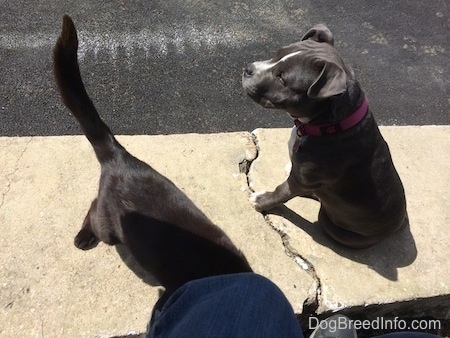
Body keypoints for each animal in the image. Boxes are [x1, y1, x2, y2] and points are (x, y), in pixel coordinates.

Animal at [243, 24, 408, 248]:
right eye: (276, 54)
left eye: (282, 78)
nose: (248, 68)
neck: (329, 124)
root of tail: (398, 225)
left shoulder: (299, 181)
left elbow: (281, 191)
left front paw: (261, 201)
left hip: (331, 223)